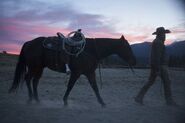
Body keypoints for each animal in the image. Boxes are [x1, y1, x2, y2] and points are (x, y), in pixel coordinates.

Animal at [8, 34, 136, 106]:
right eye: (127, 47)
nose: (134, 61)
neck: (90, 50)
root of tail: (28, 43)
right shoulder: (76, 73)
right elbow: (70, 86)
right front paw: (65, 101)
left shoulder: (90, 73)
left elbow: (95, 87)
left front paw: (102, 103)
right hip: (34, 67)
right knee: (28, 79)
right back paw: (30, 99)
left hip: (39, 68)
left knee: (35, 81)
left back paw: (37, 100)